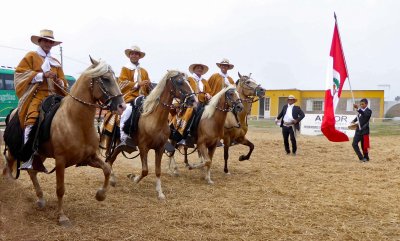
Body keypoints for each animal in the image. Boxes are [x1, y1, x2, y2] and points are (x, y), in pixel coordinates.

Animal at [1, 57, 126, 227]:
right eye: (105, 79)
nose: (122, 106)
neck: (75, 121)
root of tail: (13, 112)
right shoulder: (60, 161)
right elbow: (60, 189)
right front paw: (62, 217)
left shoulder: (89, 157)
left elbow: (107, 169)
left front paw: (100, 195)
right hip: (16, 151)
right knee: (8, 168)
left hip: (40, 155)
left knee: (32, 172)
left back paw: (40, 199)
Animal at [105, 69, 195, 200]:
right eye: (179, 81)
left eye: (188, 81)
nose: (193, 100)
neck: (155, 120)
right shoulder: (143, 147)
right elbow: (145, 170)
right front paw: (134, 178)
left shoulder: (160, 148)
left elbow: (158, 171)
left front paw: (160, 193)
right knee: (110, 157)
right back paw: (111, 179)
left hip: (119, 143)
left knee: (112, 157)